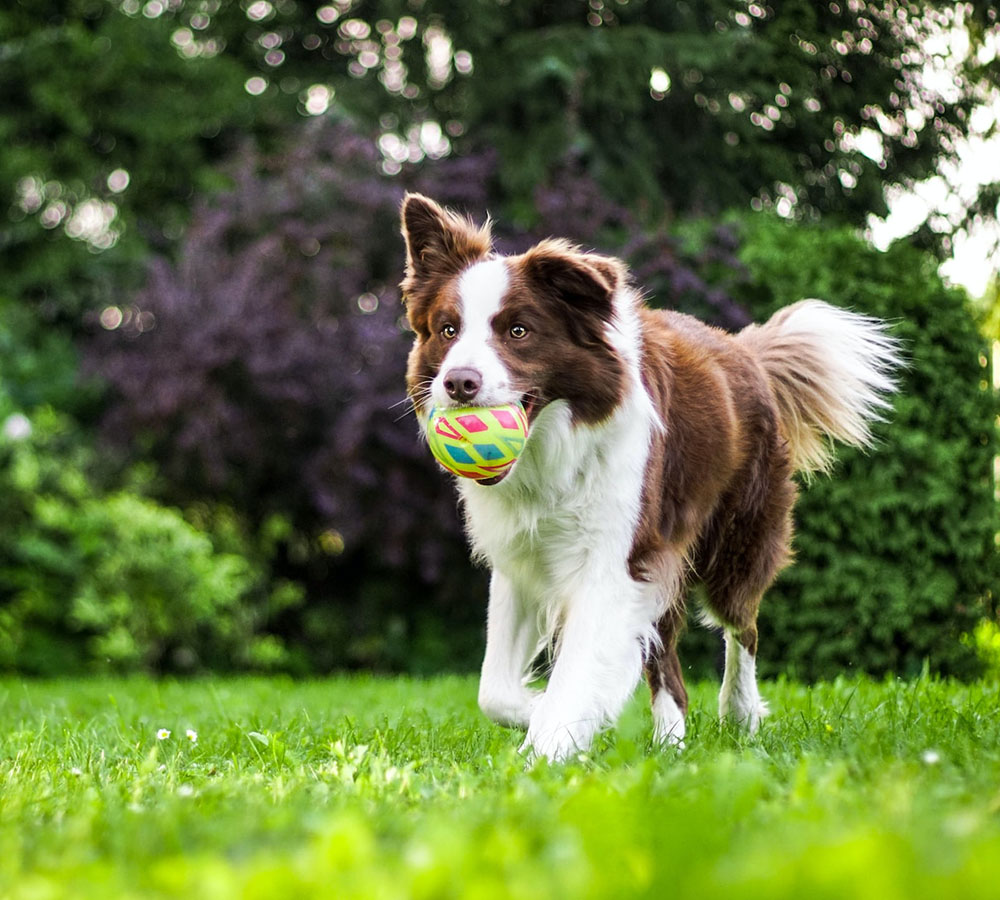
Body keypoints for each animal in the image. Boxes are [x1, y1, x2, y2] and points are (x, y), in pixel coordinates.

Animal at [402, 193, 904, 764]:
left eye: (518, 331)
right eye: (448, 330)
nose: (458, 383)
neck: (553, 449)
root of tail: (745, 351)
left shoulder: (614, 559)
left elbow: (576, 671)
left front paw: (548, 747)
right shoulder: (524, 558)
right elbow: (495, 691)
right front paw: (548, 715)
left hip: (735, 540)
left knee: (743, 626)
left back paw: (740, 714)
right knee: (668, 661)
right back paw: (670, 743)